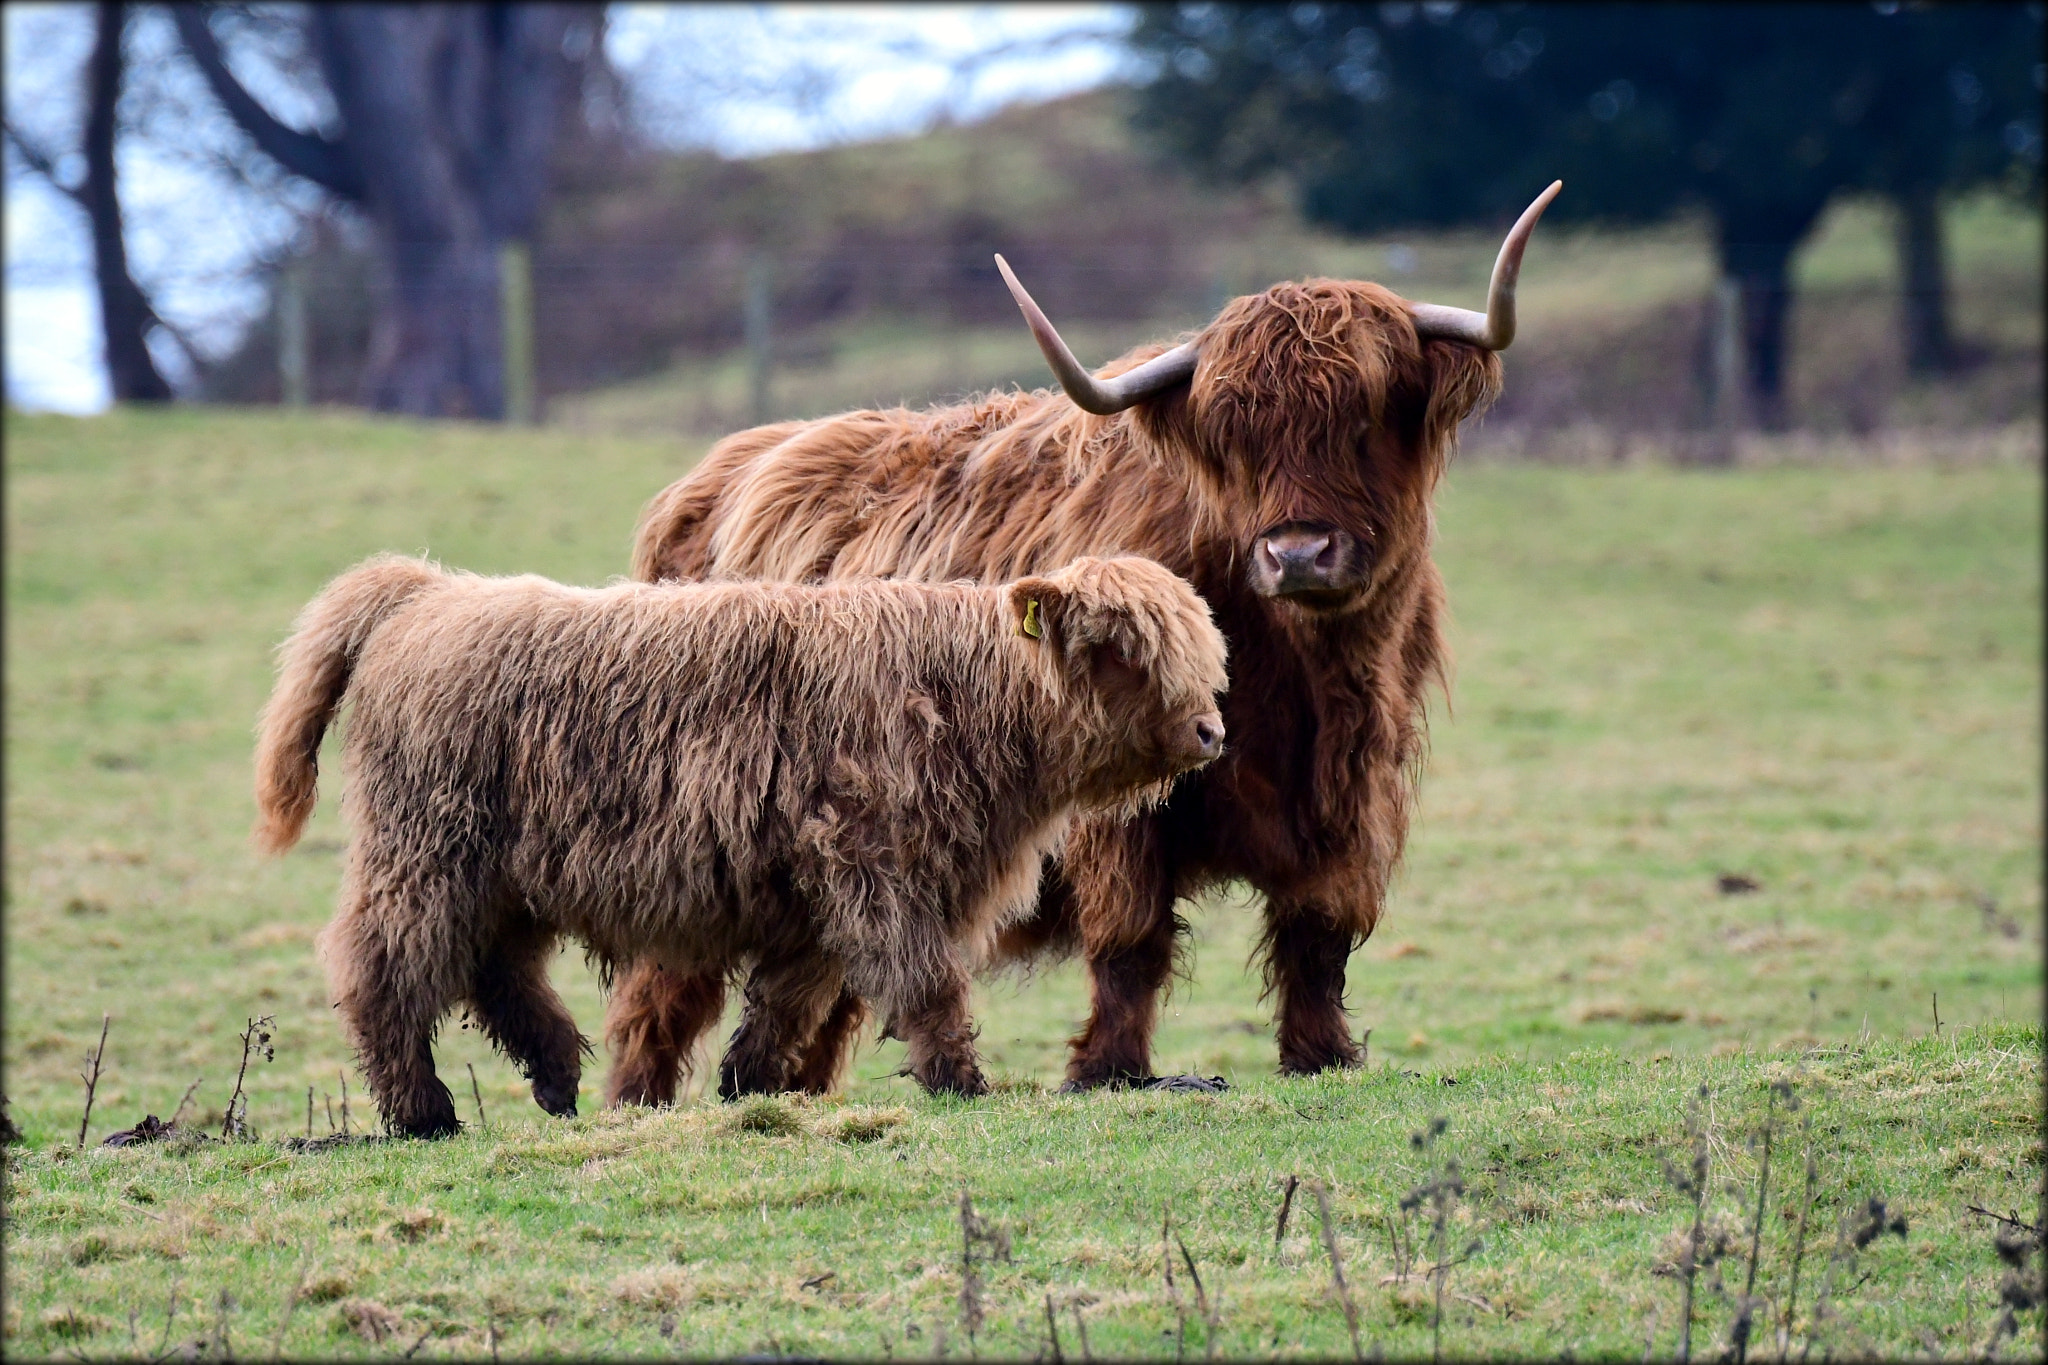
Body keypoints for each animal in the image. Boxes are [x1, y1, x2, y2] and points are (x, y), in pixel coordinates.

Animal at [252, 554, 1228, 1135]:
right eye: (1121, 648)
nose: (1212, 730)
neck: (968, 700)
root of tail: (429, 587)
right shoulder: (873, 865)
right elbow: (926, 984)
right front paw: (960, 1081)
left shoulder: (811, 896)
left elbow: (790, 1003)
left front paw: (747, 1088)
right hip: (427, 851)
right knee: (381, 967)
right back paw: (424, 1112)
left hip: (503, 874)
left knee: (497, 970)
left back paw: (559, 1078)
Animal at [603, 183, 1562, 1105]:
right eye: (1233, 434)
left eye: (1369, 414)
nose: (1297, 552)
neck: (1300, 676)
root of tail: (702, 482)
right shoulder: (1118, 804)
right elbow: (1131, 936)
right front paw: (1110, 1069)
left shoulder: (1353, 789)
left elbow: (1318, 934)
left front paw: (1321, 1057)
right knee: (661, 990)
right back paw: (637, 1100)